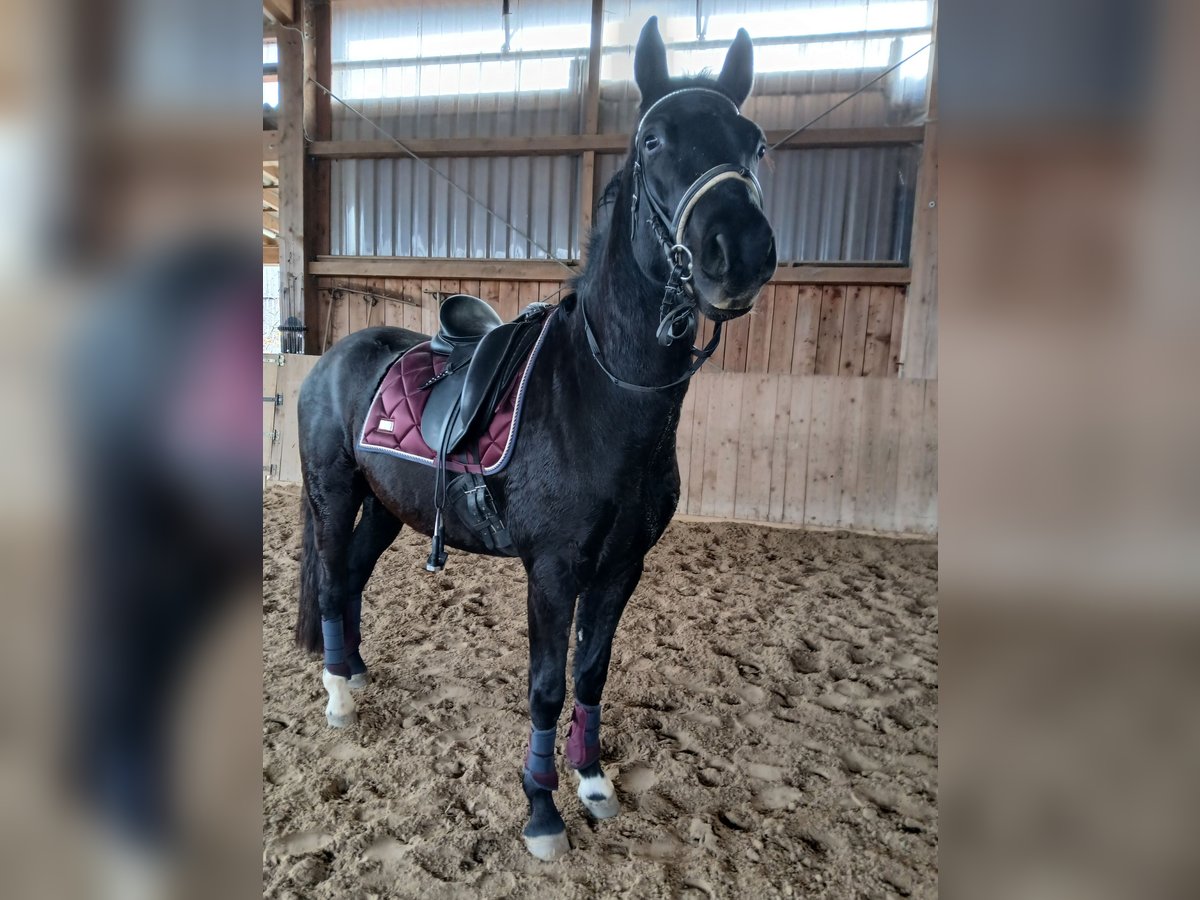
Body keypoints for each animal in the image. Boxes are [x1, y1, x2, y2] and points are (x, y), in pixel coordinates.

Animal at [295, 19, 772, 859]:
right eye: (653, 139)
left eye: (754, 142)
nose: (738, 250)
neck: (602, 396)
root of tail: (331, 359)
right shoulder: (551, 571)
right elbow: (547, 684)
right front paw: (542, 811)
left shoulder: (621, 569)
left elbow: (591, 673)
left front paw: (593, 782)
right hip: (333, 491)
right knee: (327, 579)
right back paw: (337, 699)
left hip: (387, 506)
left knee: (349, 577)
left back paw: (352, 672)